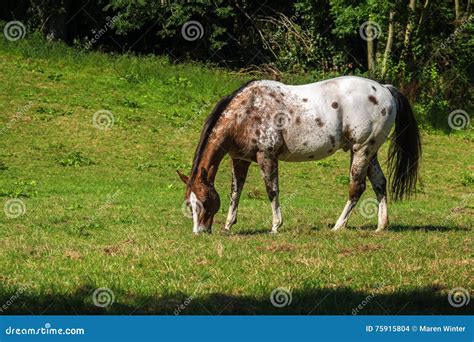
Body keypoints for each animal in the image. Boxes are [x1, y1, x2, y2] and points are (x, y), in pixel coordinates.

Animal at [178, 76, 422, 234]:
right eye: (190, 203)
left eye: (204, 202)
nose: (200, 231)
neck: (247, 112)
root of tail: (385, 89)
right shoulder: (240, 160)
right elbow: (235, 192)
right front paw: (229, 225)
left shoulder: (267, 157)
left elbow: (272, 191)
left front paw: (276, 226)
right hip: (369, 151)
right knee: (380, 183)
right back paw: (381, 226)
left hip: (361, 150)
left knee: (357, 187)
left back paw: (338, 226)